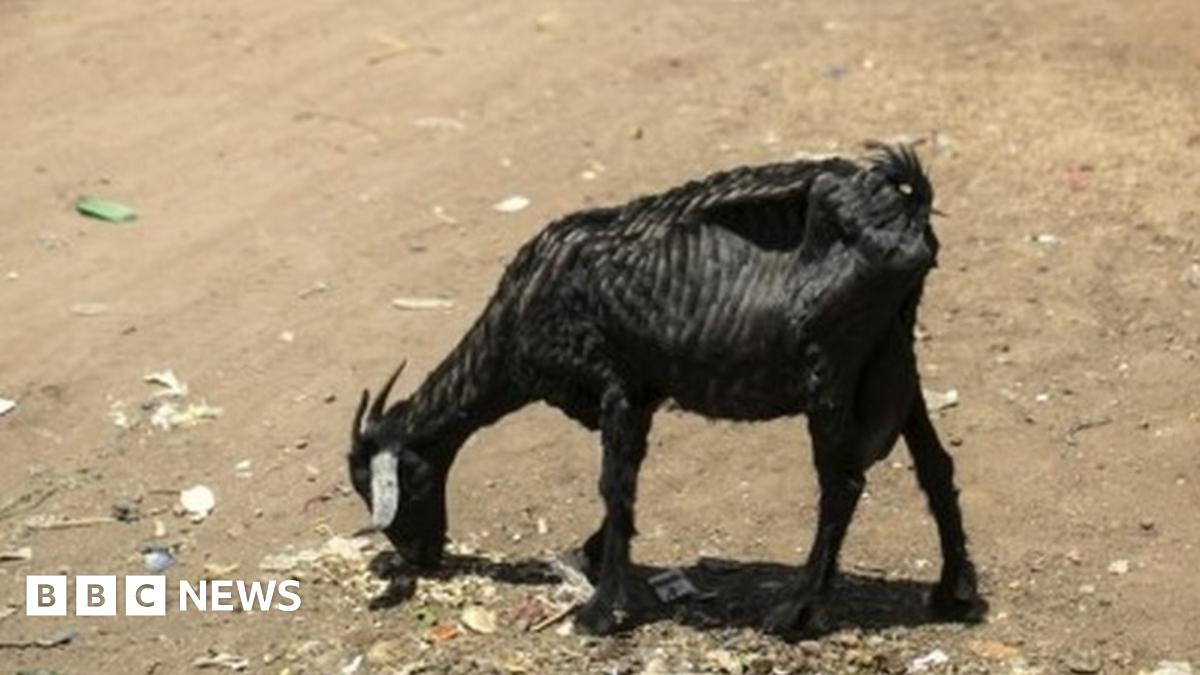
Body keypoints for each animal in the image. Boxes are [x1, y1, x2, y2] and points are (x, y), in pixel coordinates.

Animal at [347, 143, 979, 635]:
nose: (422, 556)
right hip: (893, 356)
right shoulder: (644, 395)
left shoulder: (615, 387)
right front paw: (593, 557)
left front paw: (601, 609)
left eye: (406, 477)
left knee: (842, 482)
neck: (521, 312)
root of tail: (904, 201)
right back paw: (953, 590)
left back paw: (799, 607)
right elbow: (625, 483)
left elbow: (613, 485)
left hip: (832, 366)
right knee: (935, 467)